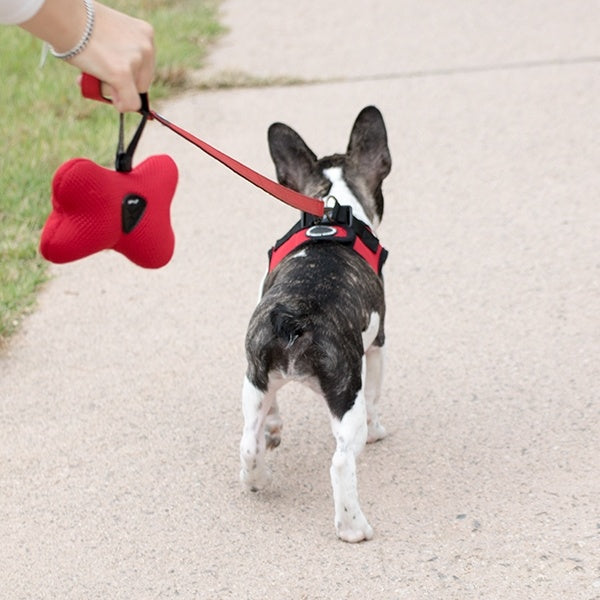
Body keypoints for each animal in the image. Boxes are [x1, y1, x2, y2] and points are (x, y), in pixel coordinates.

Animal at [241, 108, 392, 544]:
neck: (333, 207)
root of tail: (297, 315)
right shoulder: (377, 344)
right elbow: (376, 394)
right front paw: (378, 430)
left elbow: (270, 415)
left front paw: (274, 428)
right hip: (346, 393)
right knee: (341, 461)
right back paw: (353, 527)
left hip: (253, 376)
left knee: (247, 441)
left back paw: (256, 478)